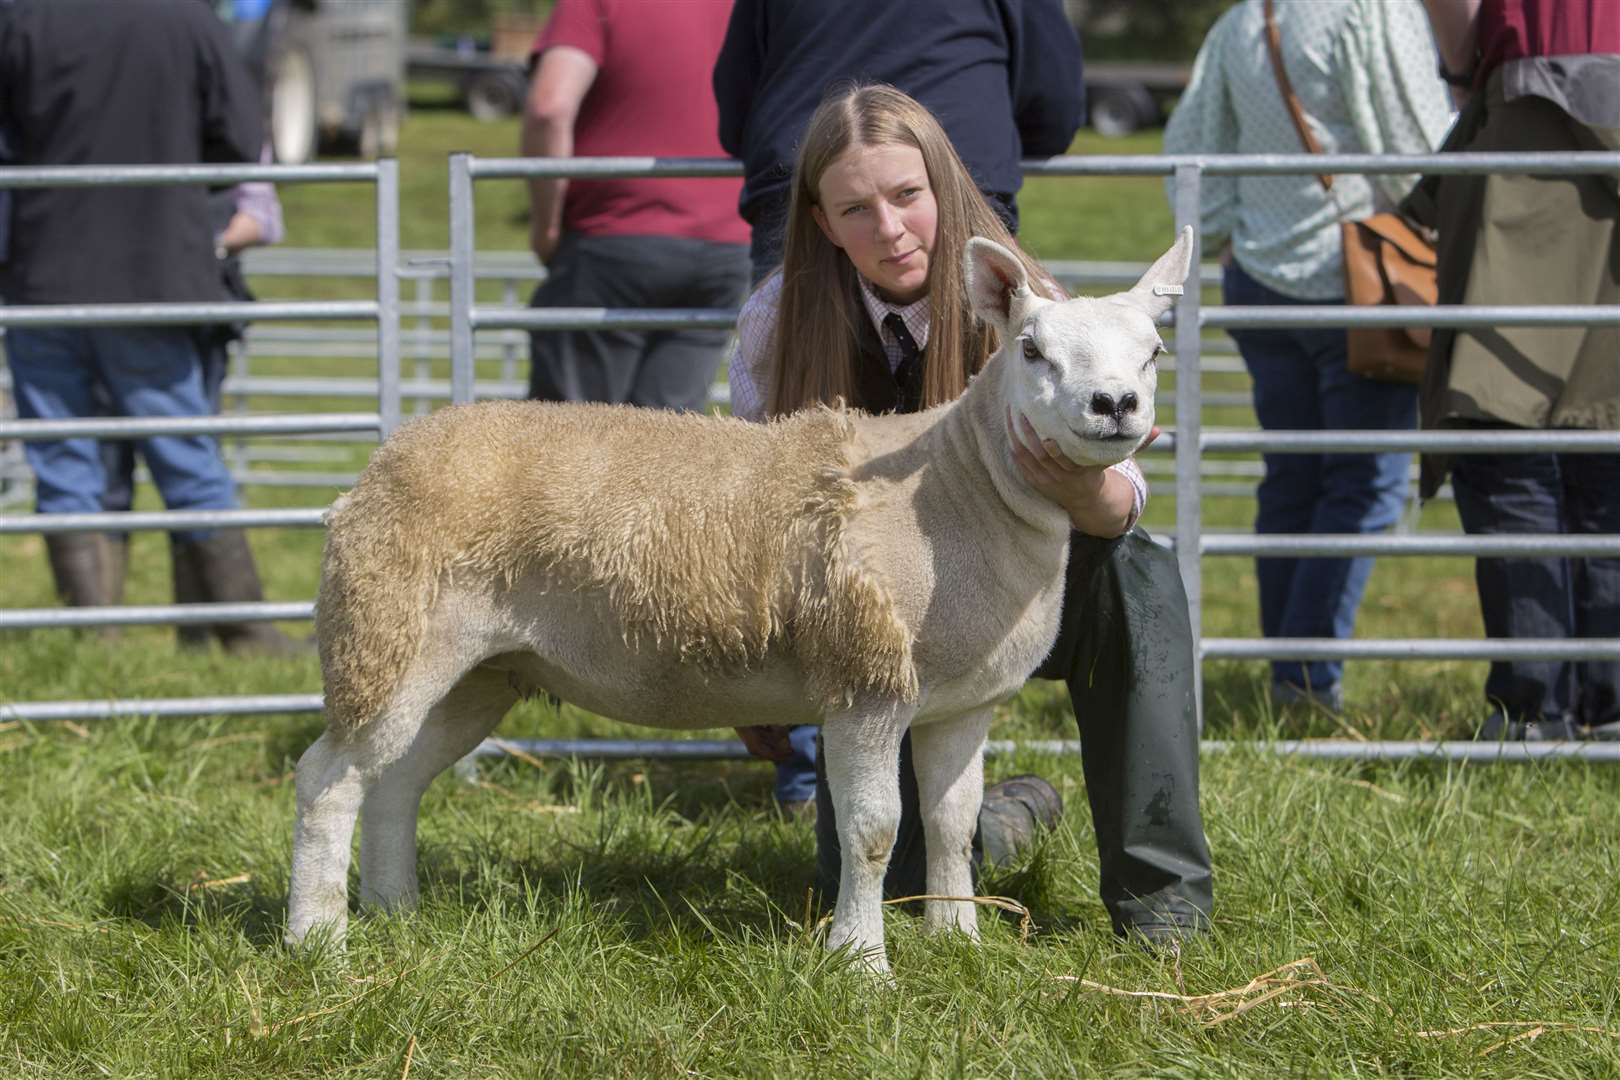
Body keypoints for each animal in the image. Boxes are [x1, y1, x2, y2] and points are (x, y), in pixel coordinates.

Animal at [285, 226, 1198, 971]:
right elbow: (873, 831)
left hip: (480, 669)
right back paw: (318, 939)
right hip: (390, 631)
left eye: (1155, 350)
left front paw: (959, 942)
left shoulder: (961, 702)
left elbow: (952, 822)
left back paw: (395, 913)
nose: (1115, 405)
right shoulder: (865, 677)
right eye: (1032, 350)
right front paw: (861, 963)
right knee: (328, 779)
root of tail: (380, 466)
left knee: (394, 781)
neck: (957, 486)